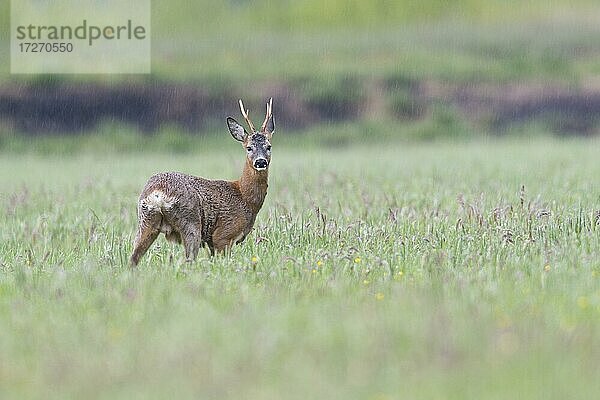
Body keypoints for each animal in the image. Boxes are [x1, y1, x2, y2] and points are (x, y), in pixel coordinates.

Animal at [130, 97, 276, 266]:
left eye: (269, 146)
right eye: (249, 148)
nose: (260, 162)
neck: (244, 197)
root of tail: (158, 193)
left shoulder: (211, 242)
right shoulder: (223, 235)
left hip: (145, 220)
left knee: (133, 258)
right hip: (191, 222)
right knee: (189, 259)